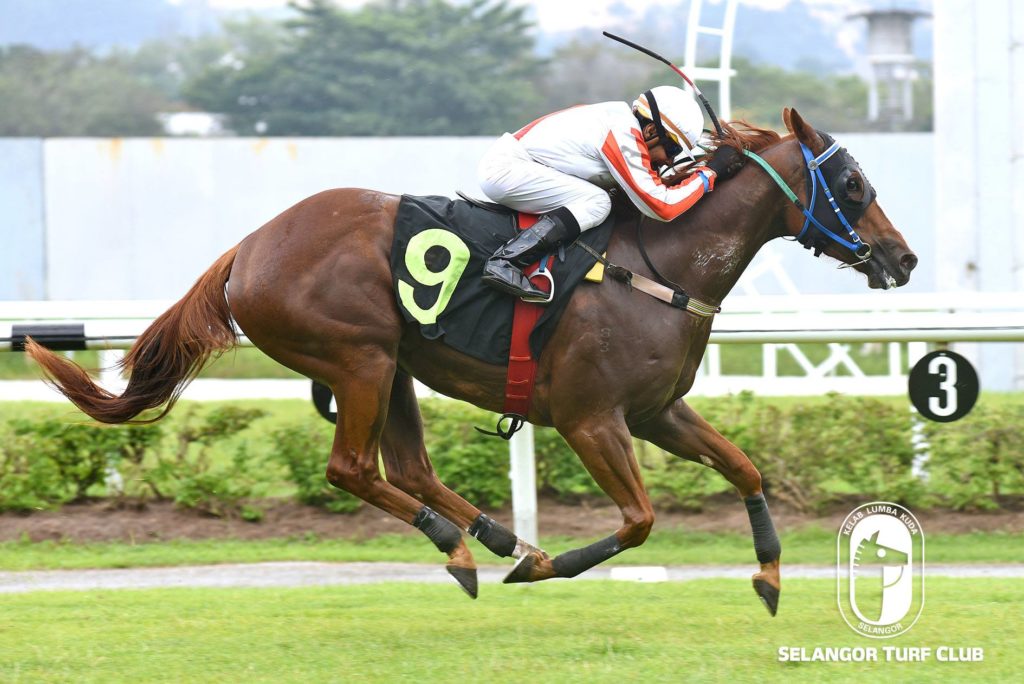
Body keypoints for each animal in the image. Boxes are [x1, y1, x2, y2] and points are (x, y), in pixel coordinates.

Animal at [25, 108, 921, 614]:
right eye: (851, 181)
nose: (902, 258)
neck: (661, 265)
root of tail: (247, 248)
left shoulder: (657, 411)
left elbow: (745, 468)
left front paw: (769, 577)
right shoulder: (592, 420)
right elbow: (638, 519)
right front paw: (551, 563)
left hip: (392, 367)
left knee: (408, 468)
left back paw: (493, 537)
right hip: (357, 356)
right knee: (353, 468)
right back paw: (469, 546)